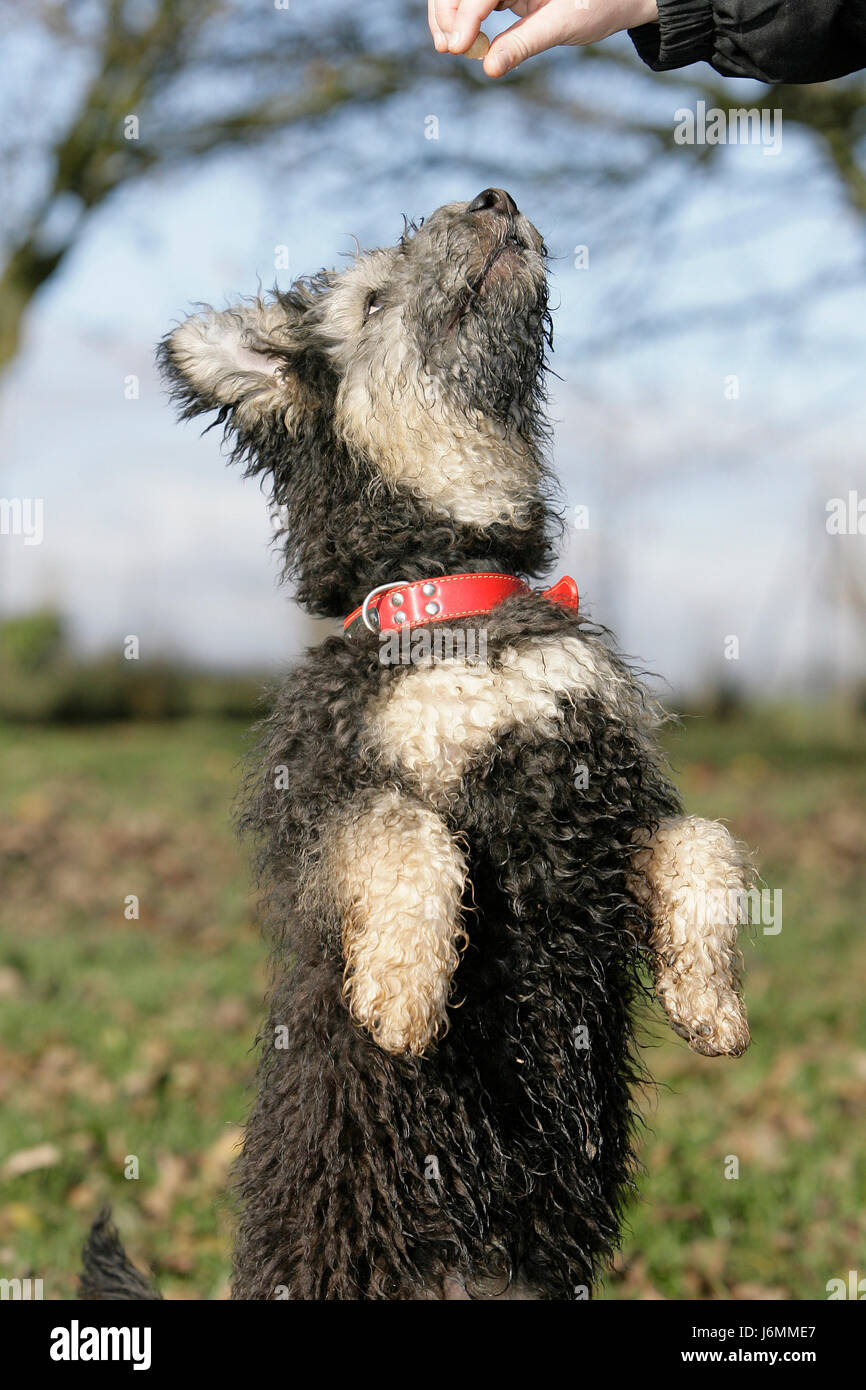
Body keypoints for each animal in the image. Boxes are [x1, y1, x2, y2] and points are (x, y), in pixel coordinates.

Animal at [84, 187, 756, 1301]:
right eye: (369, 298)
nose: (494, 197)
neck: (457, 598)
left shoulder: (613, 789)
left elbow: (705, 839)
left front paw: (711, 1000)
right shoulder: (324, 797)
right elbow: (407, 839)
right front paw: (402, 995)